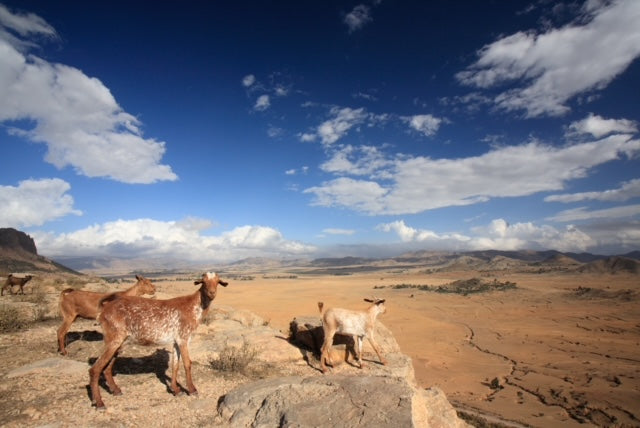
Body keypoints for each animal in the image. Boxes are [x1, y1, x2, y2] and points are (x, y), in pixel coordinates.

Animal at [89, 272, 229, 410]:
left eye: (217, 282)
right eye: (203, 282)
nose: (212, 293)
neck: (194, 307)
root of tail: (103, 312)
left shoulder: (175, 341)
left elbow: (175, 365)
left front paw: (176, 390)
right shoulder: (183, 338)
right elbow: (187, 363)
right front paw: (192, 390)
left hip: (120, 342)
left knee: (107, 368)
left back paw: (116, 391)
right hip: (114, 339)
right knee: (95, 369)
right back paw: (100, 403)